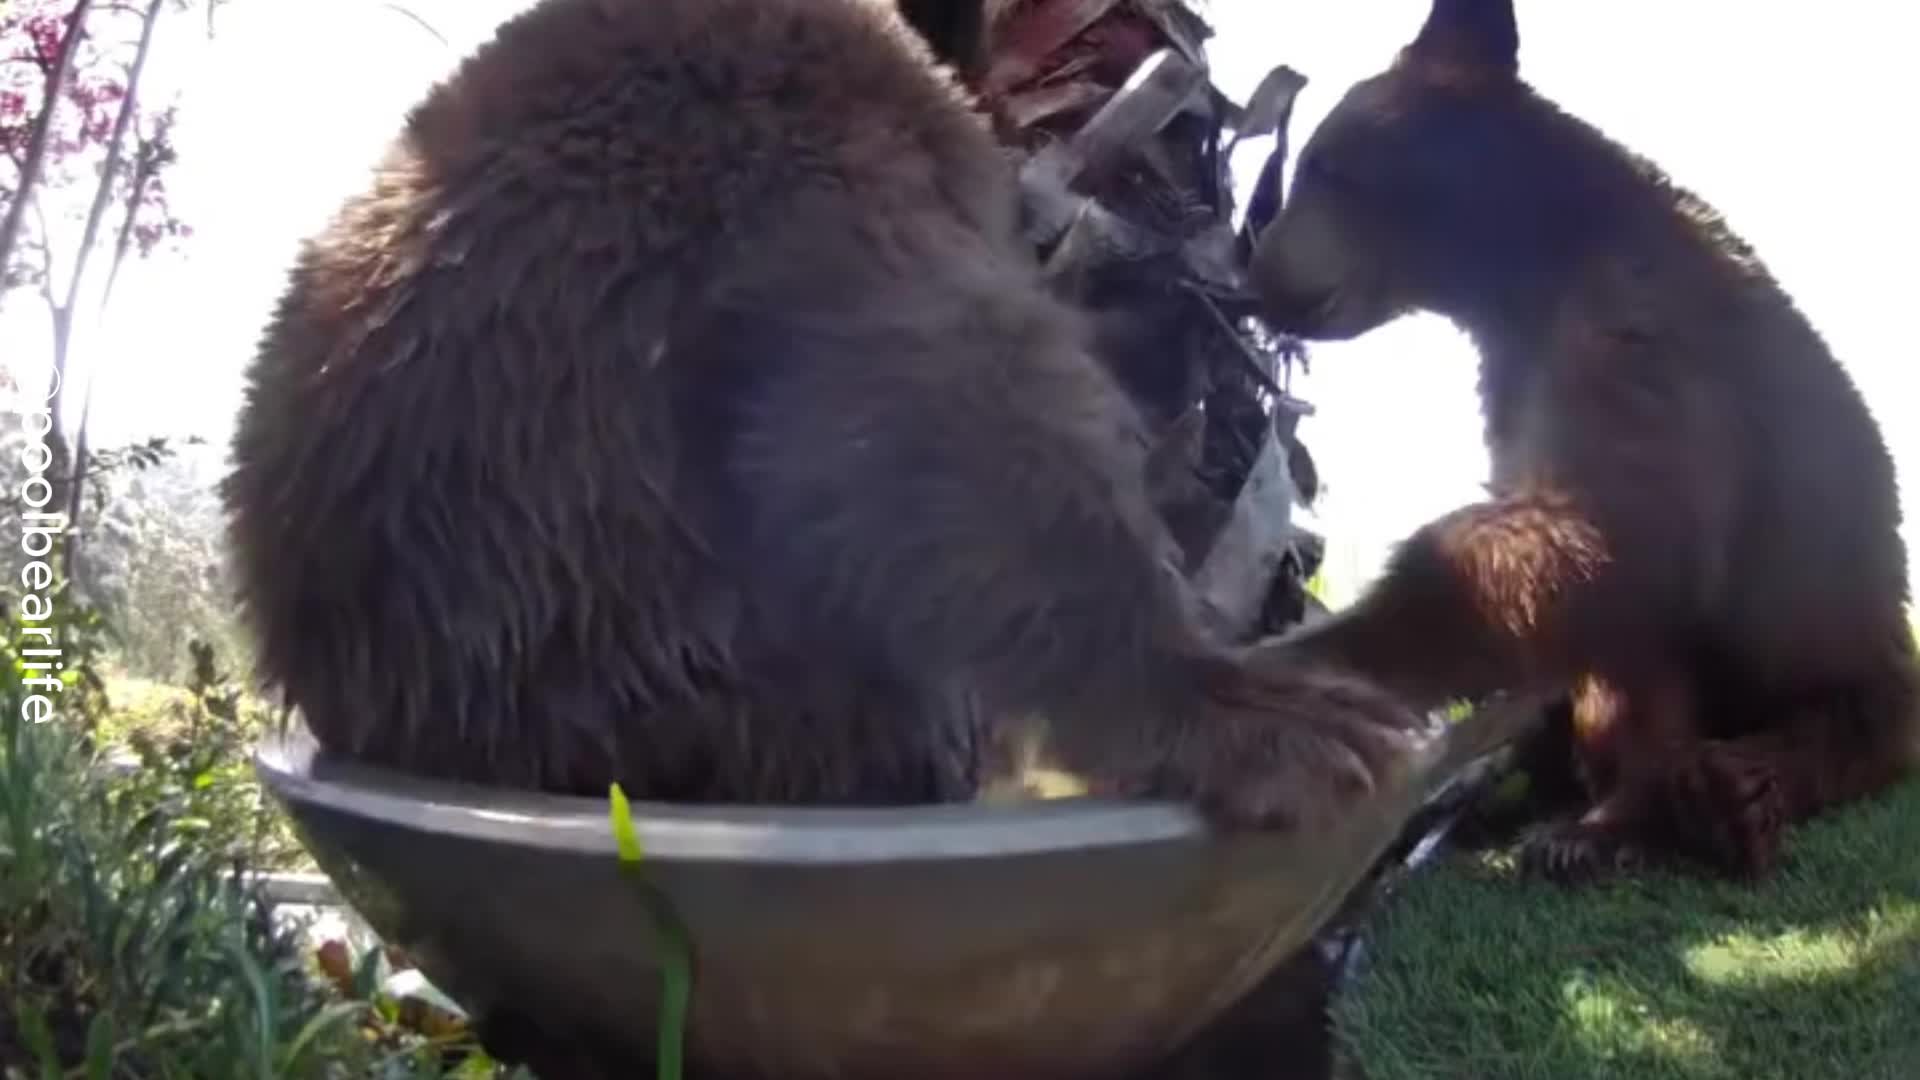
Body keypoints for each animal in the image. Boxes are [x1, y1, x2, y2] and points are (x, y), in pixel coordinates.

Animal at [1245, 0, 1920, 880]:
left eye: (1323, 167)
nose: (1256, 275)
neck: (1521, 275)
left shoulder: (1636, 343)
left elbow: (1605, 531)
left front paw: (1313, 651)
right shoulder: (1520, 384)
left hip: (1834, 630)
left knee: (1837, 717)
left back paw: (1703, 803)